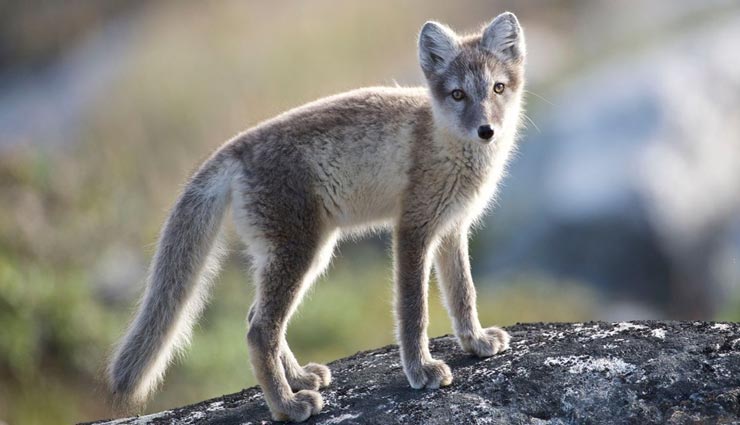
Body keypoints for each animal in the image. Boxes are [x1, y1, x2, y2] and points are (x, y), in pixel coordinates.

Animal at [108, 11, 526, 422]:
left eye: (497, 89)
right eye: (458, 94)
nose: (486, 130)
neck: (446, 144)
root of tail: (235, 147)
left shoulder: (452, 229)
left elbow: (463, 294)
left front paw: (475, 342)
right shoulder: (412, 230)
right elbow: (413, 311)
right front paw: (421, 371)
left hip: (309, 255)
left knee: (255, 317)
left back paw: (299, 379)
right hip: (300, 253)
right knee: (259, 331)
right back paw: (287, 406)